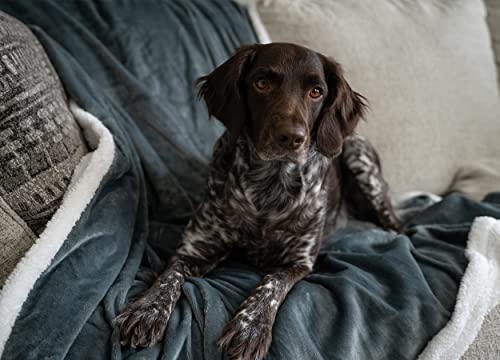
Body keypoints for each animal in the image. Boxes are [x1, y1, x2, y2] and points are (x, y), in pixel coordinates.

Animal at [115, 43, 400, 360]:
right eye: (261, 83)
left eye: (316, 92)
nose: (291, 137)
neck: (269, 185)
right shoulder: (194, 249)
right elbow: (169, 275)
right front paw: (147, 310)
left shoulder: (297, 263)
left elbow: (270, 285)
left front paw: (251, 327)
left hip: (357, 155)